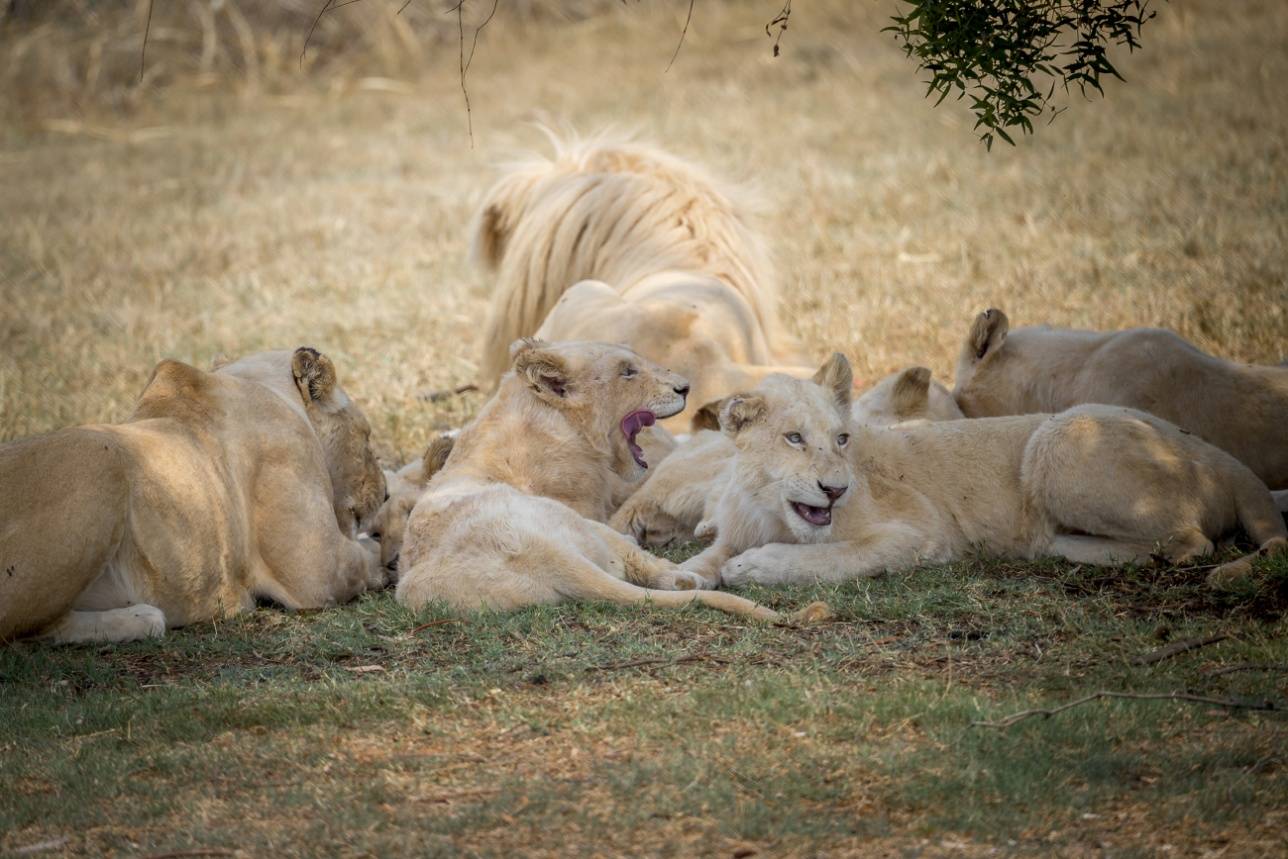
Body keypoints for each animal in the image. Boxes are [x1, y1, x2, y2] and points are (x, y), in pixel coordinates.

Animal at [2, 345, 388, 641]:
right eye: (368, 438)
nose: (385, 495)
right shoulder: (318, 571)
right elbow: (366, 557)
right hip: (99, 455)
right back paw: (146, 618)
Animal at [394, 337, 824, 625]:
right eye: (627, 371)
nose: (685, 388)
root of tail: (544, 553)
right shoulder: (590, 506)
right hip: (585, 527)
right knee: (645, 564)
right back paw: (684, 574)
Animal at [680, 352, 1282, 587]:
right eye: (794, 438)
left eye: (842, 439)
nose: (836, 488)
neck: (769, 509)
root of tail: (1219, 456)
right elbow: (704, 559)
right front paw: (686, 574)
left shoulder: (921, 532)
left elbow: (831, 558)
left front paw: (756, 567)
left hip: (1061, 436)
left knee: (1192, 541)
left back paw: (1056, 545)